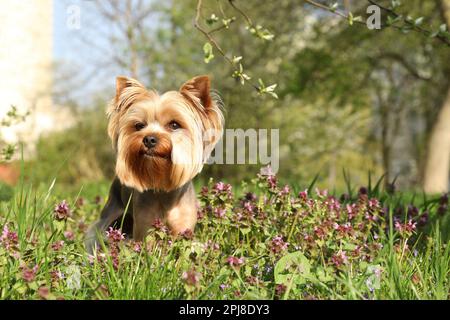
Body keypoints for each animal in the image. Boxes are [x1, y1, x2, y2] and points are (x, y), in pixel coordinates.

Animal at [84, 75, 223, 252]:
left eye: (174, 124)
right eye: (139, 125)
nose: (149, 139)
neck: (163, 187)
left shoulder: (183, 226)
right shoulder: (145, 225)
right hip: (111, 209)